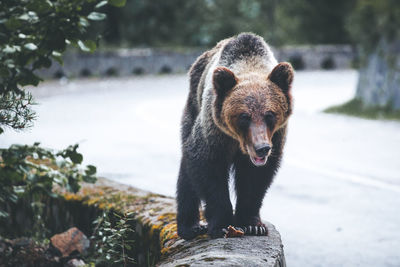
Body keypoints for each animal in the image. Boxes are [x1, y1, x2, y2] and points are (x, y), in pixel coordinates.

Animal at [177, 32, 292, 240]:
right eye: (244, 116)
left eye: (270, 115)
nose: (262, 148)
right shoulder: (214, 131)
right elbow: (206, 166)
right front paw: (222, 225)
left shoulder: (277, 136)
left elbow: (255, 179)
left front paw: (253, 225)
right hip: (192, 108)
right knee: (186, 173)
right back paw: (190, 226)